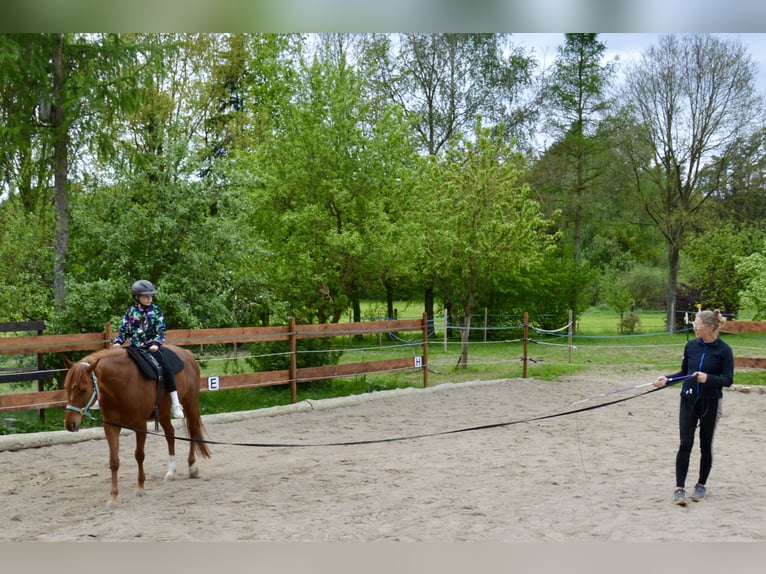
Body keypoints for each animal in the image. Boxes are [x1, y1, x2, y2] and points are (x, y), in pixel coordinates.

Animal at [64, 346, 210, 504]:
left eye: (84, 389)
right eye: (66, 387)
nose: (70, 424)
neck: (121, 383)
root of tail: (187, 353)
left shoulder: (140, 425)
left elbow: (139, 455)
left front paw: (140, 488)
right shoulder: (111, 426)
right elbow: (114, 461)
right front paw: (113, 497)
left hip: (190, 402)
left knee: (192, 430)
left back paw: (192, 467)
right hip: (163, 412)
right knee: (170, 434)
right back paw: (171, 472)